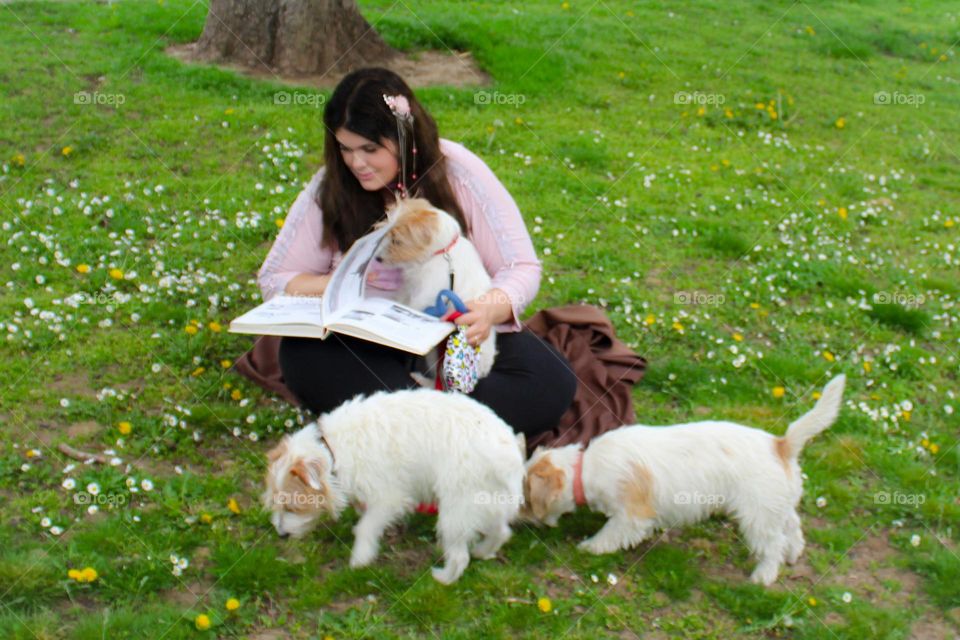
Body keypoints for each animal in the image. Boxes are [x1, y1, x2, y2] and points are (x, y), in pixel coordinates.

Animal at [260, 388, 524, 584]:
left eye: (293, 508)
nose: (281, 535)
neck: (333, 449)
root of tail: (509, 453)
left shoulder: (389, 498)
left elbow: (367, 526)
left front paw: (360, 558)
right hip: (485, 503)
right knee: (502, 531)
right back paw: (484, 551)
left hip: (456, 511)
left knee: (460, 556)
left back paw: (444, 578)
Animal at [376, 198, 496, 378]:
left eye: (397, 241)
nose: (377, 258)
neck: (443, 251)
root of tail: (482, 372)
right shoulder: (411, 286)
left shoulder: (423, 297)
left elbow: (408, 305)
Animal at [524, 376, 848, 584]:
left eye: (526, 499)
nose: (520, 519)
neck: (585, 467)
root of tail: (781, 445)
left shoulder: (631, 515)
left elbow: (611, 533)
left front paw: (590, 547)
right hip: (777, 506)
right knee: (793, 529)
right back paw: (793, 555)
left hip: (758, 516)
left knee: (773, 545)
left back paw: (763, 576)